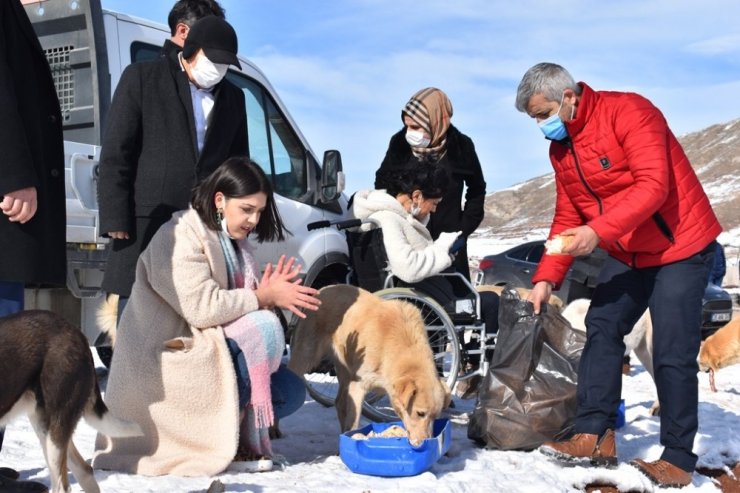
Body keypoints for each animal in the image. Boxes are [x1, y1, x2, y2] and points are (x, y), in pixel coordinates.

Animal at [290, 282, 450, 444]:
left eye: (435, 416)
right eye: (420, 413)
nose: (425, 442)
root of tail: (323, 289)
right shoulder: (358, 386)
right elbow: (354, 421)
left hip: (345, 370)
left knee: (339, 402)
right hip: (305, 357)